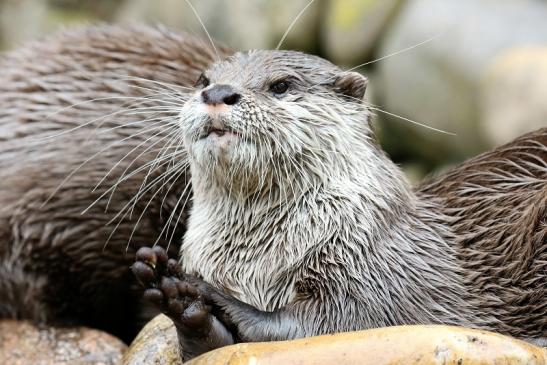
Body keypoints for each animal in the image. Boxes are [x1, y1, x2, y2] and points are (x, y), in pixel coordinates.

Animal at [133, 48, 547, 358]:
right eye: (202, 80)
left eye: (281, 85)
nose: (218, 92)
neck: (256, 266)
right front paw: (182, 304)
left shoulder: (379, 271)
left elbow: (323, 323)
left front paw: (206, 292)